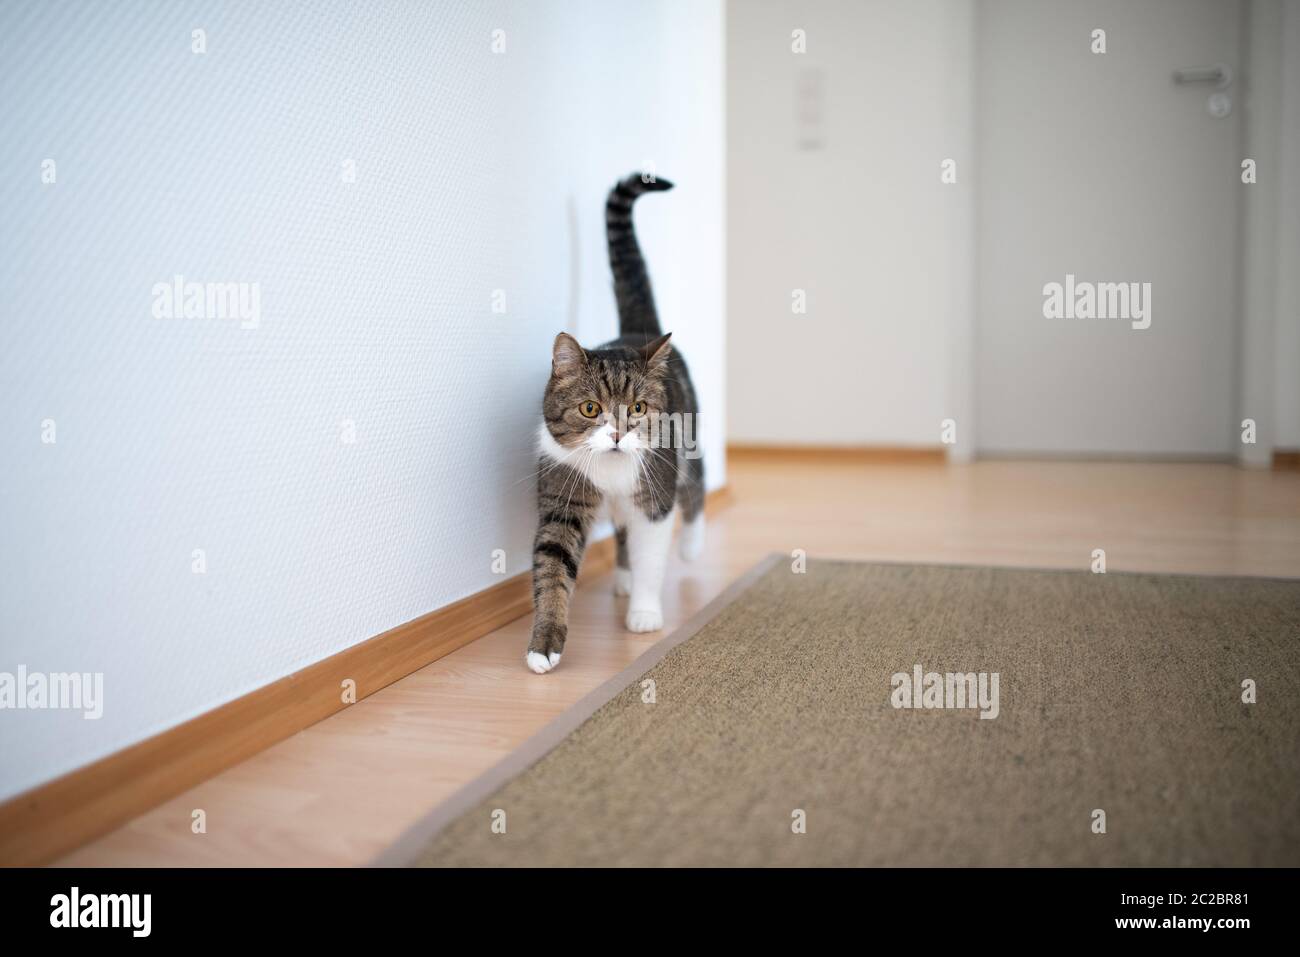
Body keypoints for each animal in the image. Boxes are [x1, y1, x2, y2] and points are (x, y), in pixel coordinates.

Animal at [525, 171, 707, 670]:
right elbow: (553, 566)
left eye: (639, 409)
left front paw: (644, 615)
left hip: (688, 445)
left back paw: (690, 546)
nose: (619, 434)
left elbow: (652, 555)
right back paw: (622, 579)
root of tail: (638, 333)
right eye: (591, 409)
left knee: (697, 487)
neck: (608, 471)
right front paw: (544, 646)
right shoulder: (563, 496)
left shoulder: (654, 495)